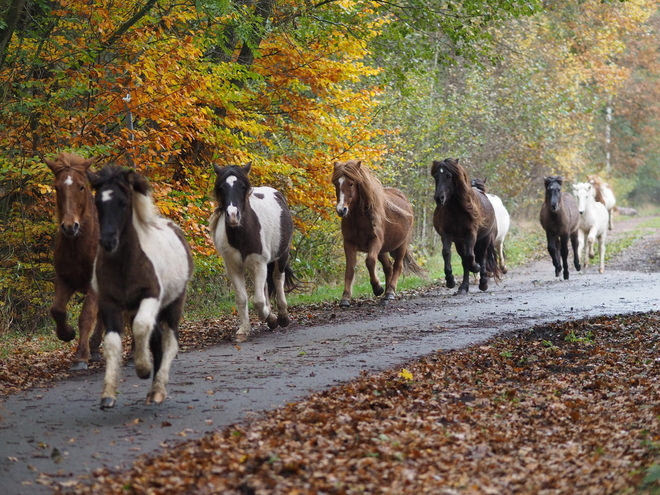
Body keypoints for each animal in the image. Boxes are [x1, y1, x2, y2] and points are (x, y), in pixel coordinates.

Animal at [45, 153, 104, 370]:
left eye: (81, 187)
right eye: (57, 188)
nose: (70, 226)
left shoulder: (94, 283)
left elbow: (86, 316)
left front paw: (80, 356)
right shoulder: (64, 279)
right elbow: (57, 309)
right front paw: (66, 333)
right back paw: (95, 348)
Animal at [86, 167, 192, 410]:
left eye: (123, 202)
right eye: (98, 202)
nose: (108, 242)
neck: (125, 263)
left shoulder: (150, 296)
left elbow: (141, 327)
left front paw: (143, 369)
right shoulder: (109, 303)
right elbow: (112, 343)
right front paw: (108, 395)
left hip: (173, 304)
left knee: (170, 341)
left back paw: (158, 389)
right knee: (157, 340)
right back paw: (152, 392)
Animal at [332, 160, 426, 306]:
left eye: (351, 183)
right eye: (336, 183)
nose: (341, 210)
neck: (359, 218)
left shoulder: (375, 241)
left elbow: (370, 261)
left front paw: (377, 288)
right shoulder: (349, 243)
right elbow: (350, 269)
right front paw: (345, 297)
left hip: (401, 245)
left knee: (397, 266)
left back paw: (390, 292)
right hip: (383, 250)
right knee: (389, 268)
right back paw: (386, 293)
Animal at [430, 159, 498, 294]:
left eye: (449, 176)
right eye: (435, 176)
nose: (439, 198)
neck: (457, 211)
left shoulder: (471, 234)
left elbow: (471, 256)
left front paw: (476, 267)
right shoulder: (447, 234)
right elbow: (446, 253)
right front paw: (450, 280)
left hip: (484, 239)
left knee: (482, 256)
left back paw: (483, 283)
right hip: (460, 242)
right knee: (464, 260)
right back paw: (463, 287)